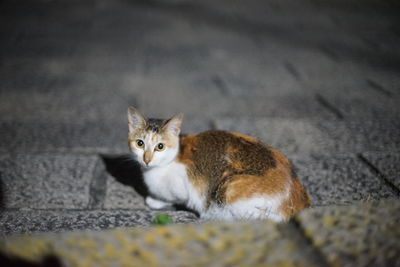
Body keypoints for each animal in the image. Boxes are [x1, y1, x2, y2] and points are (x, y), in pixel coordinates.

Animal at [126, 107, 310, 222]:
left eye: (160, 146)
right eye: (140, 143)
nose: (147, 159)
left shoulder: (183, 189)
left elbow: (166, 198)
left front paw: (154, 201)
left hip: (229, 191)